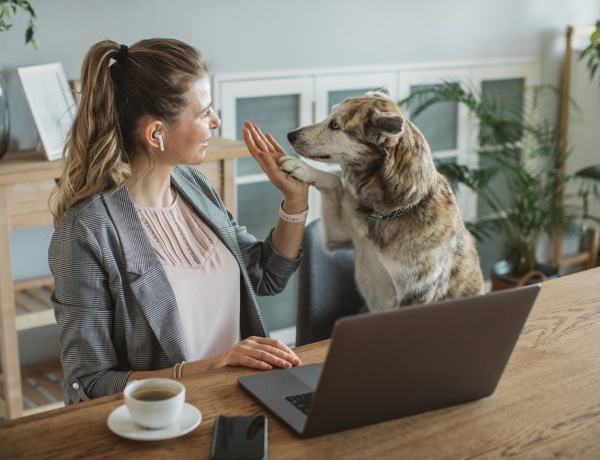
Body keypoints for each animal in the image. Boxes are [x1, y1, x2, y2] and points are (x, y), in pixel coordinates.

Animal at [284, 89, 486, 312]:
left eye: (335, 125)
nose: (290, 135)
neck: (389, 211)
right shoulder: (338, 236)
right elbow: (334, 180)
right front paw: (303, 169)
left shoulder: (414, 297)